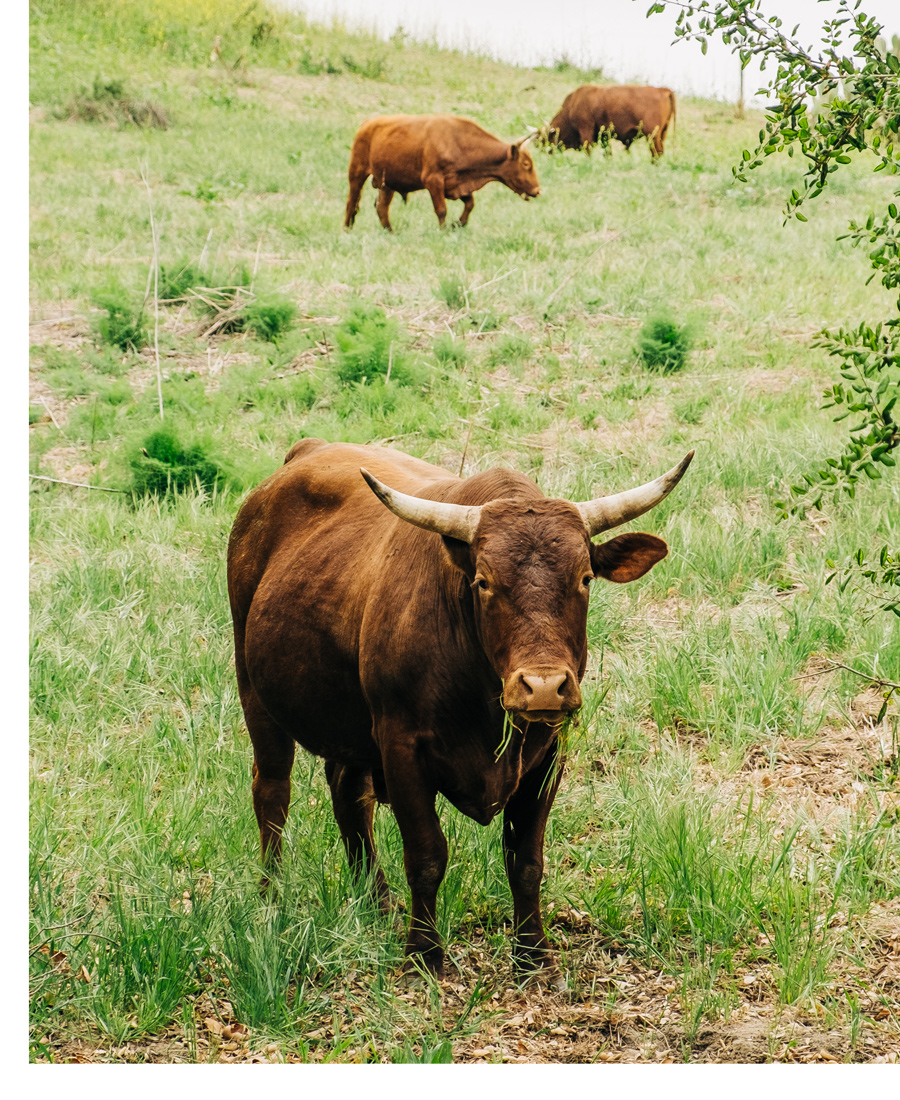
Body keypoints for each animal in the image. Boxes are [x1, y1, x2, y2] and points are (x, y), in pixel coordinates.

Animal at [227, 437, 690, 981]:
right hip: (254, 689)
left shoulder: (548, 753)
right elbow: (427, 855)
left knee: (349, 793)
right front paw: (424, 955)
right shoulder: (401, 746)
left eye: (585, 578)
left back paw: (375, 900)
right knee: (272, 793)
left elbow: (526, 859)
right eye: (484, 582)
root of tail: (307, 449)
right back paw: (271, 897)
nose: (543, 687)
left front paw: (533, 954)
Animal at [343, 113, 539, 229]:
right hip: (357, 172)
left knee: (381, 207)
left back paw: (390, 232)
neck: (457, 140)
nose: (537, 190)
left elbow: (470, 204)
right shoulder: (433, 181)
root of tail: (366, 124)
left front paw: (458, 224)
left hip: (387, 183)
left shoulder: (457, 185)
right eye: (526, 164)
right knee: (352, 201)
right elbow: (441, 210)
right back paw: (347, 229)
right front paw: (444, 230)